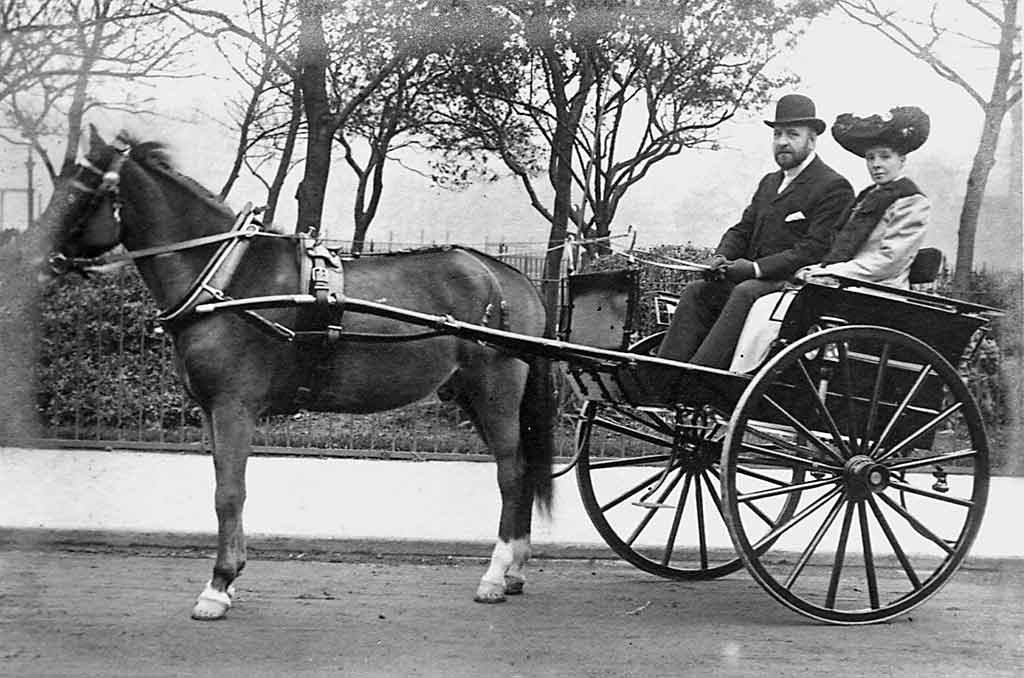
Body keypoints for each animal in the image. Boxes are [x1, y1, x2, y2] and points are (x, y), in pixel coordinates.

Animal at [39, 127, 557, 622]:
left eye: (79, 192)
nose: (36, 257)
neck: (225, 279)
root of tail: (509, 277)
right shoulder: (212, 411)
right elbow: (226, 486)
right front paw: (232, 578)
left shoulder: (234, 407)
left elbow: (229, 492)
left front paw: (218, 587)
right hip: (470, 395)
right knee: (521, 471)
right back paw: (515, 571)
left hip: (495, 393)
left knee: (511, 474)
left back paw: (494, 575)